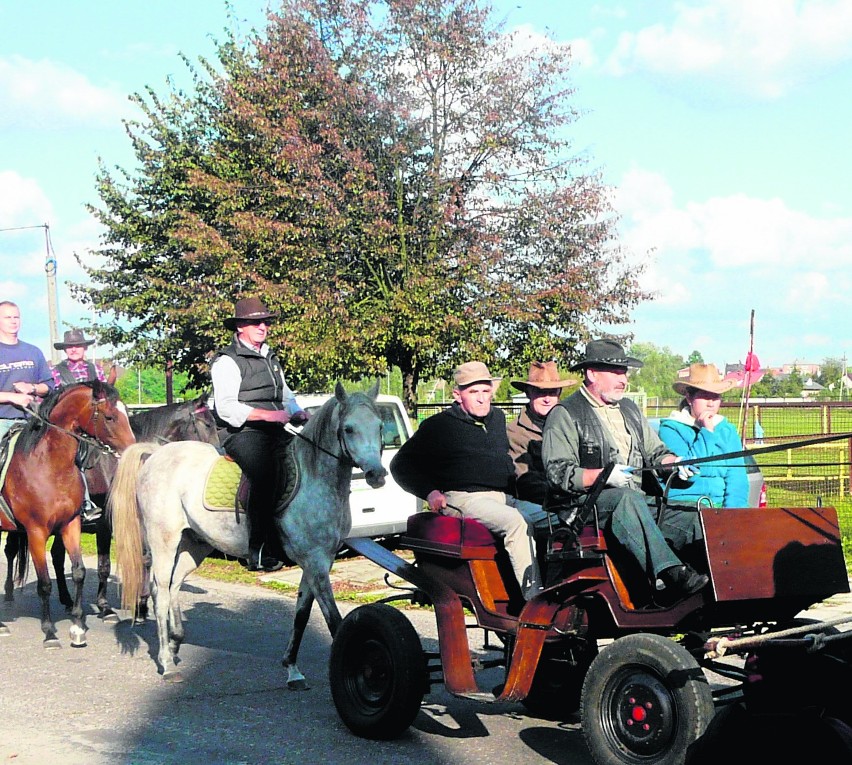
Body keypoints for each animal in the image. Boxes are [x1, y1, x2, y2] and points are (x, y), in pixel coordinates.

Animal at [0, 380, 135, 644]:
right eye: (110, 417)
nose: (133, 449)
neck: (48, 467)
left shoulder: (70, 524)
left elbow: (79, 571)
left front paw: (77, 626)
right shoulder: (36, 532)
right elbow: (44, 583)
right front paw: (49, 632)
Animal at [4, 394, 216, 620]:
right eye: (207, 424)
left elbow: (145, 559)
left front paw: (141, 605)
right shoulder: (104, 525)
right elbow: (105, 565)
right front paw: (106, 606)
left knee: (57, 556)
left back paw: (67, 600)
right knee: (11, 550)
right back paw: (9, 593)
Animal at [110, 384, 386, 684]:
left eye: (380, 426)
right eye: (349, 429)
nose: (378, 474)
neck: (315, 478)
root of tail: (156, 453)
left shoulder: (317, 563)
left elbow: (301, 616)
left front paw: (292, 669)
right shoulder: (315, 563)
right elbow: (335, 621)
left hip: (195, 545)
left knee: (173, 585)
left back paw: (175, 643)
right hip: (164, 541)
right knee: (159, 590)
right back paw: (167, 663)